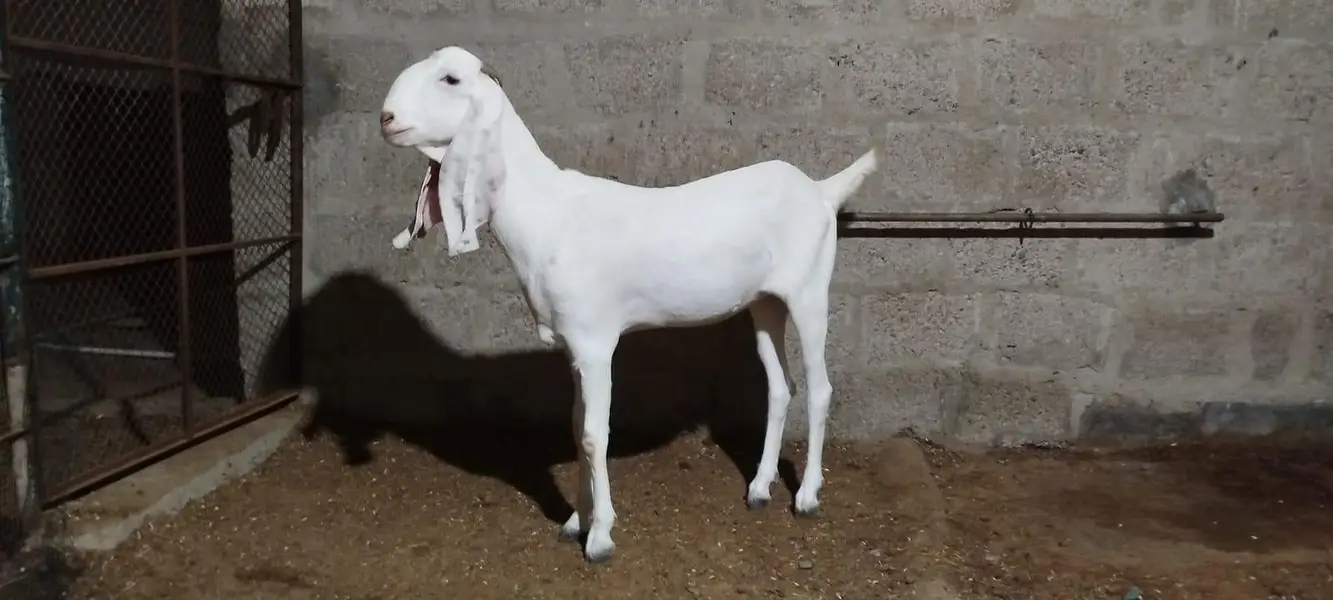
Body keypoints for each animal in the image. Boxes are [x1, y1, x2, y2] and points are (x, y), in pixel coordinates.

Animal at [378, 46, 878, 563]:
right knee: (781, 387)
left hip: (809, 292)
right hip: (765, 304)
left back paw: (808, 496)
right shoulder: (574, 346)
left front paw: (600, 536)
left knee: (820, 390)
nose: (387, 119)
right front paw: (574, 522)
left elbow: (595, 434)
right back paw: (760, 489)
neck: (549, 212)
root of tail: (821, 190)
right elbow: (576, 427)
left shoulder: (597, 344)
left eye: (451, 79)